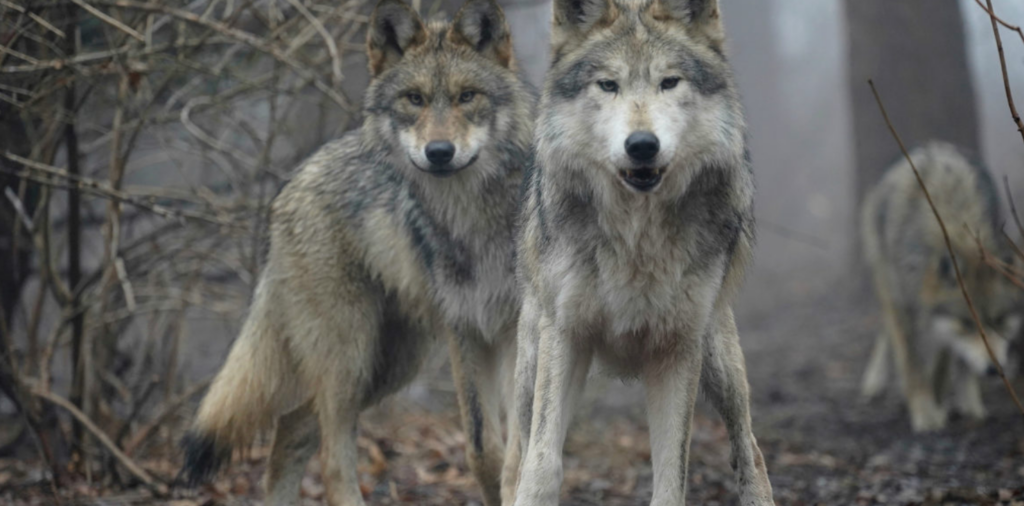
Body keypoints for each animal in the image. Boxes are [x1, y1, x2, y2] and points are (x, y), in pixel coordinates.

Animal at [179, 0, 534, 504]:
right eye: (414, 99)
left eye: (468, 96)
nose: (439, 152)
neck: (475, 219)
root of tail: (296, 177)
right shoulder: (465, 330)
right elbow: (485, 452)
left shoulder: (516, 331)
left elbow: (516, 454)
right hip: (351, 358)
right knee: (328, 456)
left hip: (389, 365)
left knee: (290, 429)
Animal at [505, 0, 774, 504]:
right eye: (608, 85)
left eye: (670, 82)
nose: (643, 145)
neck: (637, 235)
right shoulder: (564, 336)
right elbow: (542, 463)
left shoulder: (677, 350)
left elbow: (672, 477)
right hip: (532, 359)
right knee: (516, 453)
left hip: (718, 358)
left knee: (749, 447)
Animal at [860, 141, 1022, 432]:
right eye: (967, 323)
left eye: (999, 320)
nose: (993, 370)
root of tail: (932, 145)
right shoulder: (906, 306)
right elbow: (912, 364)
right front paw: (924, 414)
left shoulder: (942, 324)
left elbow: (947, 361)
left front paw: (950, 401)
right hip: (886, 282)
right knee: (886, 329)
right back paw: (874, 381)